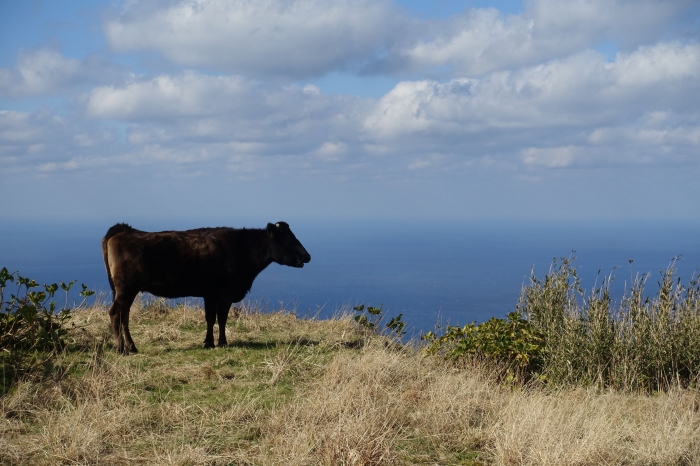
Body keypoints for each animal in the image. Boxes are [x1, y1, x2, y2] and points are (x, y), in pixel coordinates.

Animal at [102, 222, 310, 354]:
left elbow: (210, 318)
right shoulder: (225, 294)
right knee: (115, 314)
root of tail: (124, 230)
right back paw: (121, 349)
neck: (242, 248)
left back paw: (131, 346)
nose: (307, 256)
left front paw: (208, 343)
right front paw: (223, 343)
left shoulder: (210, 294)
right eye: (287, 239)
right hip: (126, 289)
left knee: (124, 316)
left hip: (125, 291)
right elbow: (222, 318)